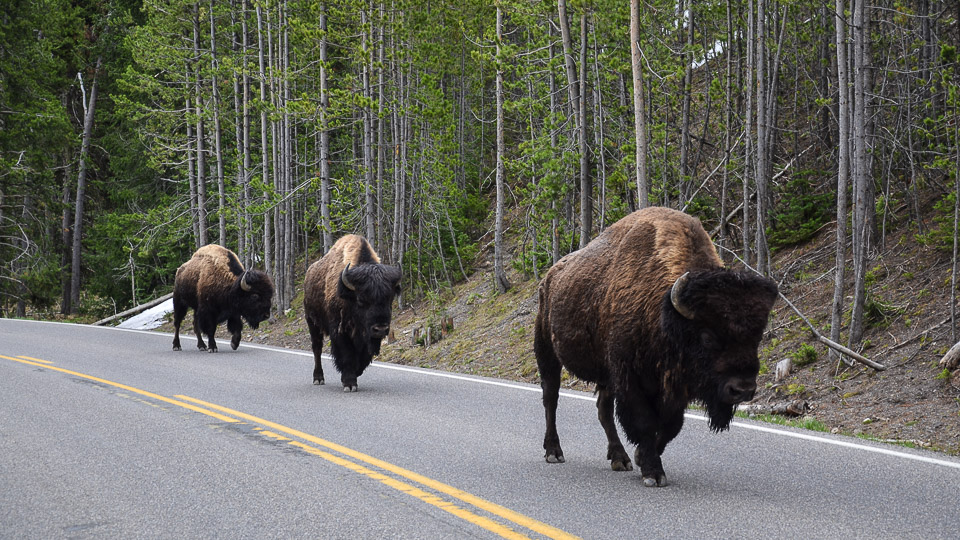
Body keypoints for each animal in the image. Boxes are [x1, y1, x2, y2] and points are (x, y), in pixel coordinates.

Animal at [304, 234, 402, 390]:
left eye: (390, 298)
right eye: (361, 299)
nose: (380, 329)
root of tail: (309, 273)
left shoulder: (368, 338)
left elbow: (364, 357)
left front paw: (354, 374)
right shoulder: (340, 331)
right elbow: (347, 355)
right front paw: (349, 383)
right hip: (312, 322)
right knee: (317, 348)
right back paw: (318, 378)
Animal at [532, 206, 780, 486]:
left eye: (757, 336)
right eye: (707, 336)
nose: (742, 389)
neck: (664, 312)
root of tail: (549, 278)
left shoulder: (673, 387)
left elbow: (671, 425)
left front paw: (641, 457)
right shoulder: (631, 379)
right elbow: (646, 422)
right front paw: (653, 472)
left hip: (606, 374)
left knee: (603, 409)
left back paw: (620, 458)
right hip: (547, 352)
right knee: (551, 398)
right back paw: (554, 452)